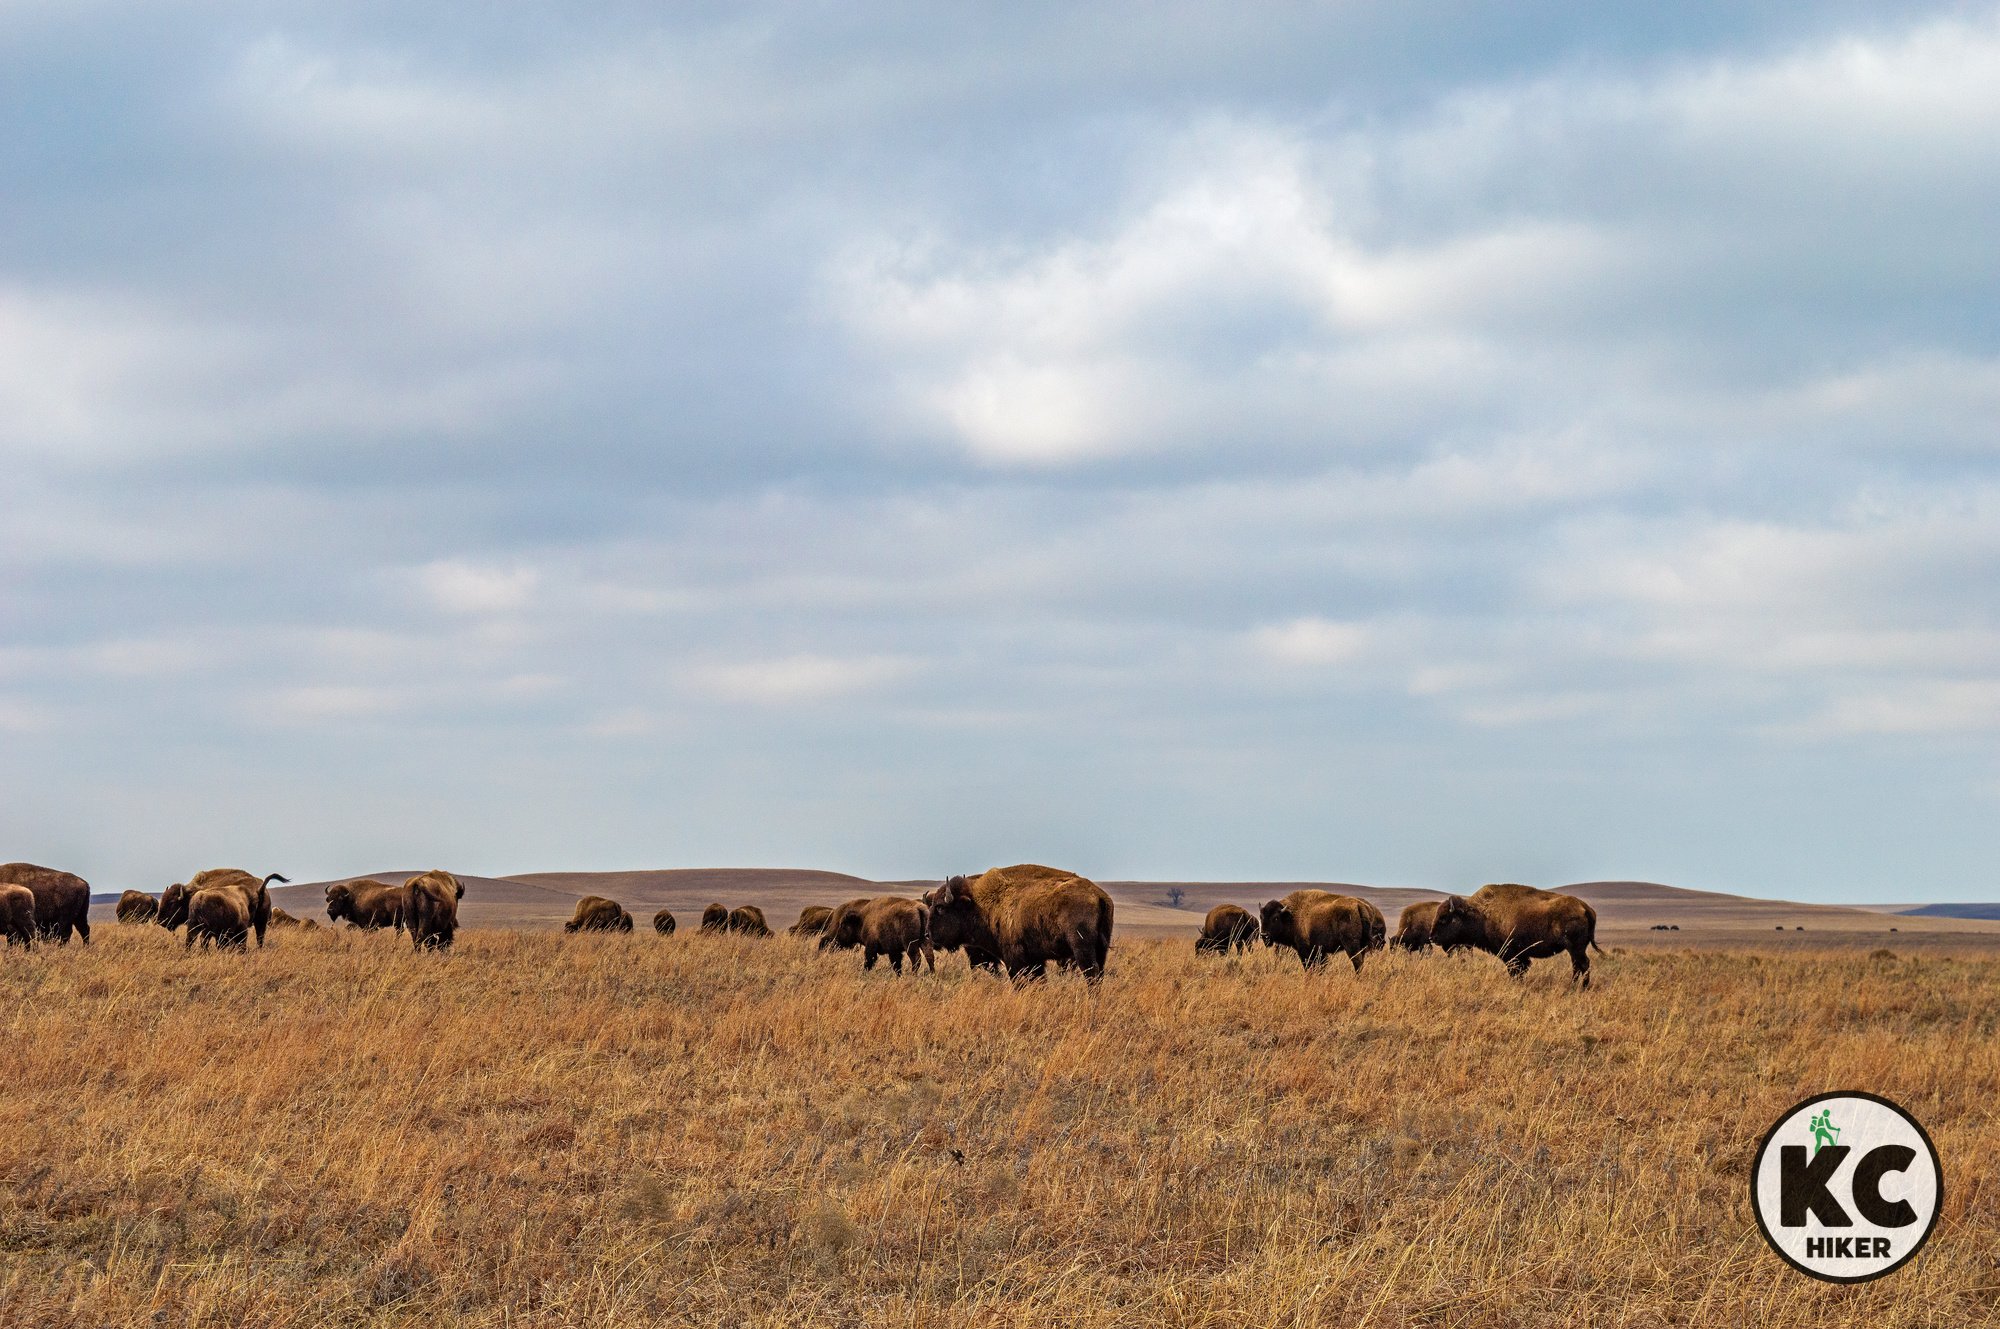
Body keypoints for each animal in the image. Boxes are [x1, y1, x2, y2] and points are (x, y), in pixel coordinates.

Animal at [920, 868, 1112, 980]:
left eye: (940, 908)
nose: (928, 935)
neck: (979, 905)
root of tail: (1099, 895)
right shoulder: (1035, 961)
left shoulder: (1014, 958)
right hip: (1101, 949)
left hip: (1082, 949)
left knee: (1091, 974)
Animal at [1256, 888, 1384, 972]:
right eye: (1261, 917)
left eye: (1275, 918)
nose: (1264, 935)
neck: (1292, 915)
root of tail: (1359, 906)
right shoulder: (1320, 952)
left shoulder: (1305, 951)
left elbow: (1308, 967)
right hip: (1362, 946)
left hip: (1351, 945)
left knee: (1357, 962)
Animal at [1432, 880, 1600, 984]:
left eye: (1444, 918)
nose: (1432, 937)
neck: (1480, 914)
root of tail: (1584, 907)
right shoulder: (1520, 956)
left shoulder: (1511, 954)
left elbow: (1515, 971)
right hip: (1575, 949)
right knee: (1577, 966)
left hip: (1576, 948)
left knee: (1583, 965)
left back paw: (1579, 988)